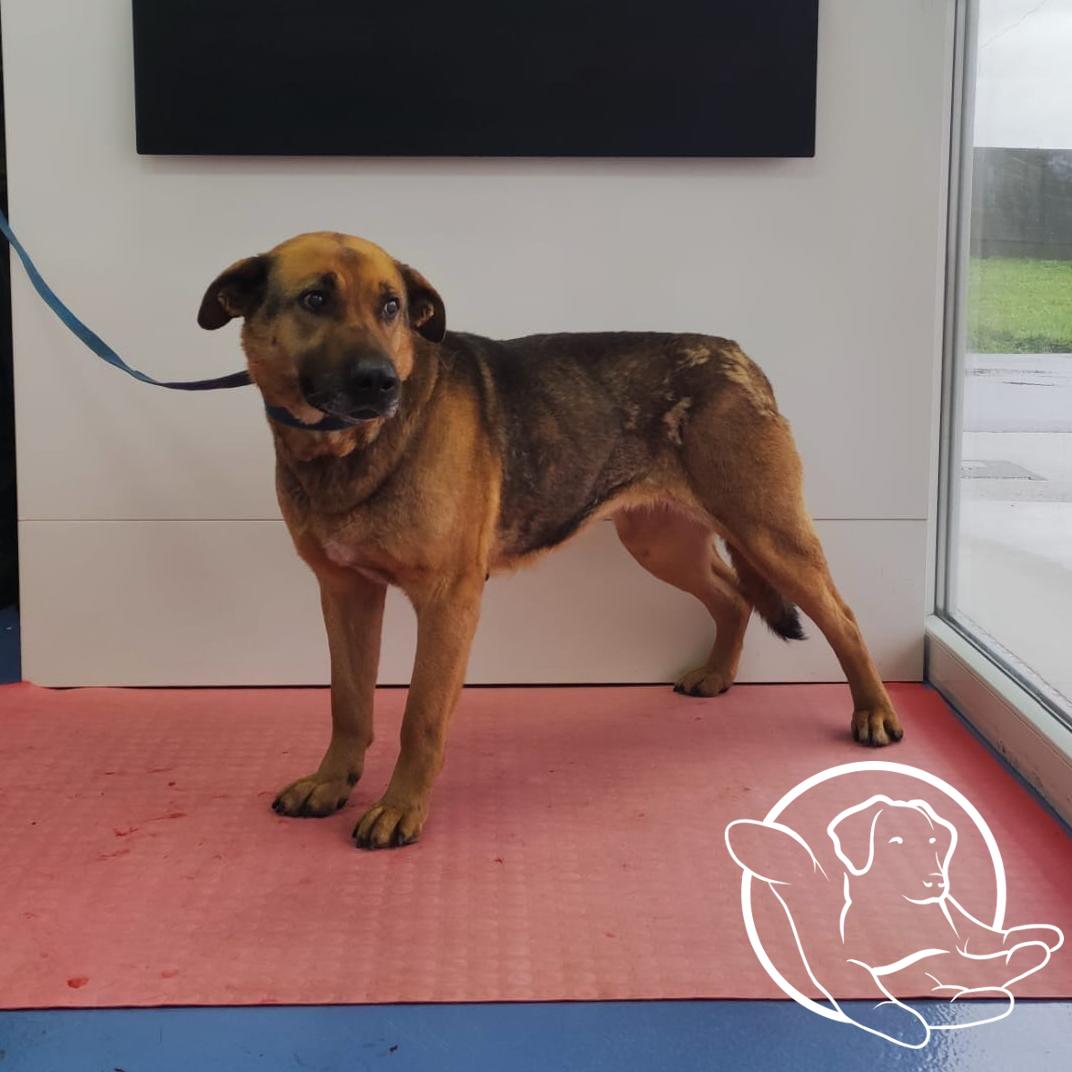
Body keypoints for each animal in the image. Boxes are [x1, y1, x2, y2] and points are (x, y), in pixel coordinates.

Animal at [198, 231, 903, 850]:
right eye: (315, 299)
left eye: (390, 306)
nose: (380, 383)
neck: (346, 449)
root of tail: (738, 355)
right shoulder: (345, 595)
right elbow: (348, 704)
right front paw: (332, 782)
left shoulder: (448, 602)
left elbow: (420, 717)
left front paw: (400, 807)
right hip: (661, 544)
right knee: (731, 597)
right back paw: (718, 676)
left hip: (769, 533)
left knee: (842, 618)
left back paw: (873, 712)